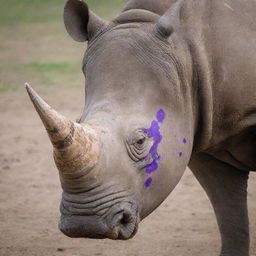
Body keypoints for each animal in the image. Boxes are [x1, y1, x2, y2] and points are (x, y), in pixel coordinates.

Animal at [25, 0, 255, 255]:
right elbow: (230, 216)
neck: (186, 57)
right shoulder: (202, 136)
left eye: (141, 141)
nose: (84, 223)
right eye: (78, 119)